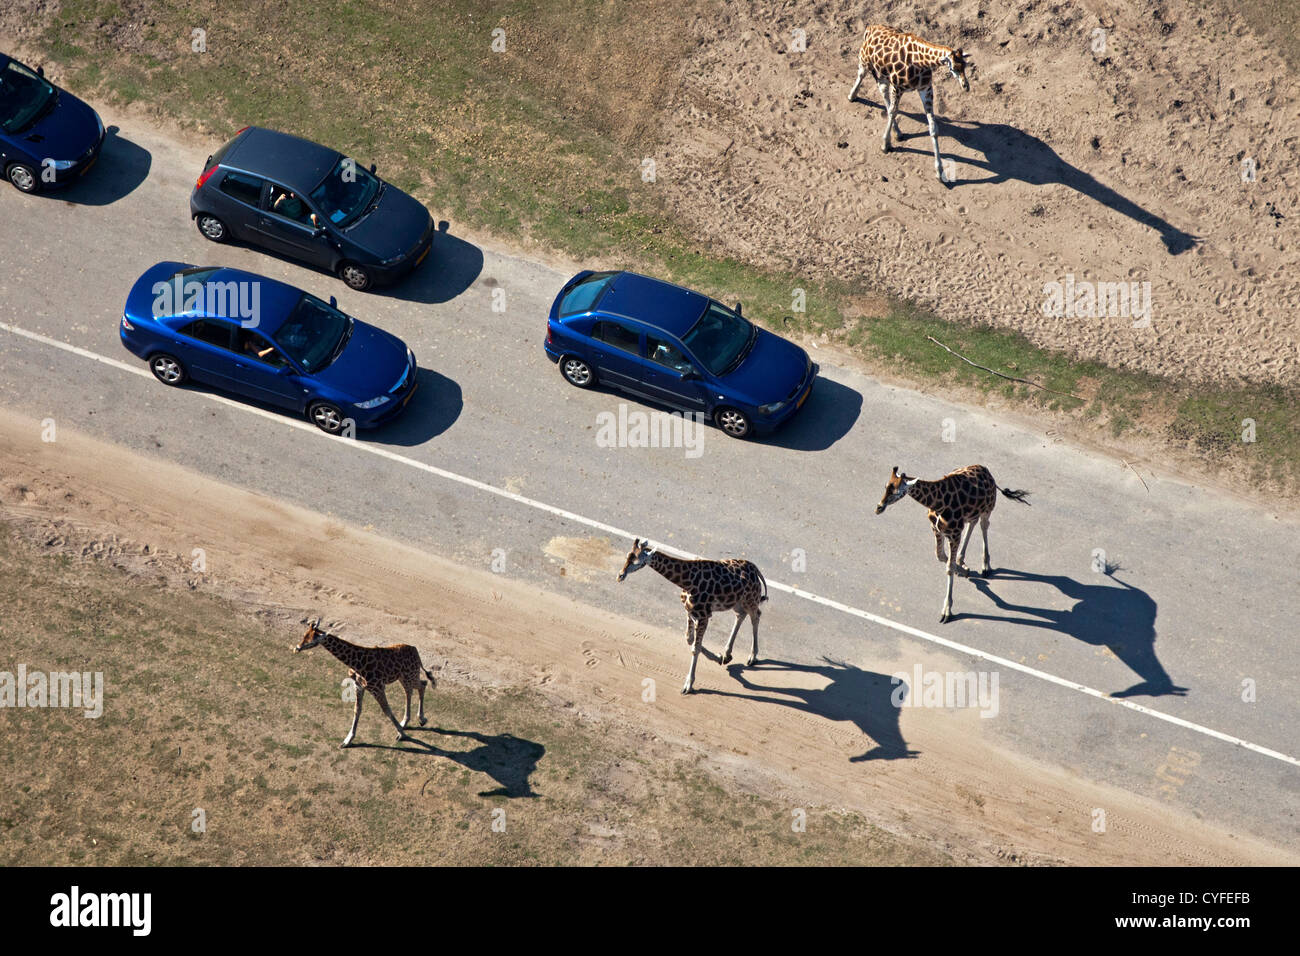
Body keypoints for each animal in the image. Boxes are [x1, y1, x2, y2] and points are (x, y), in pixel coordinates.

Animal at [292, 621, 439, 749]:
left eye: (311, 639)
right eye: (304, 635)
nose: (297, 648)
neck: (357, 663)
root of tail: (416, 651)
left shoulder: (377, 688)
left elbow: (387, 710)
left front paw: (401, 734)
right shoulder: (359, 686)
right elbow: (357, 710)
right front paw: (347, 740)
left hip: (410, 675)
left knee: (422, 685)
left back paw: (419, 719)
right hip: (404, 677)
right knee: (413, 689)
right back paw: (408, 721)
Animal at [613, 538, 764, 697]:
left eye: (637, 561)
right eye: (627, 556)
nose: (620, 576)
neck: (687, 581)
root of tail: (755, 569)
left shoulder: (704, 615)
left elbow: (694, 648)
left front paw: (688, 685)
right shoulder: (690, 611)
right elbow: (689, 639)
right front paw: (719, 657)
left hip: (750, 599)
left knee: (756, 616)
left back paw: (752, 657)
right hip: (737, 601)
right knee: (741, 615)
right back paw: (728, 653)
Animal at [847, 23, 972, 184]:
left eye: (965, 66)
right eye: (955, 67)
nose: (965, 86)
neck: (921, 62)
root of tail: (870, 27)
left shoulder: (926, 89)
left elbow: (933, 127)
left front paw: (940, 172)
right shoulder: (898, 86)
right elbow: (893, 112)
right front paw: (885, 145)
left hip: (883, 74)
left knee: (882, 90)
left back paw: (898, 132)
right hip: (865, 61)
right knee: (863, 76)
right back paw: (852, 96)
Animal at [878, 465, 1029, 629]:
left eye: (897, 492)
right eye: (886, 486)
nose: (879, 507)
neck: (937, 503)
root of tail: (988, 473)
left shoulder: (954, 533)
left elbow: (948, 567)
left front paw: (946, 612)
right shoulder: (937, 529)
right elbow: (940, 556)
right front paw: (963, 570)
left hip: (987, 509)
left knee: (984, 525)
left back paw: (985, 566)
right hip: (972, 514)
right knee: (973, 523)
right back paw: (962, 560)